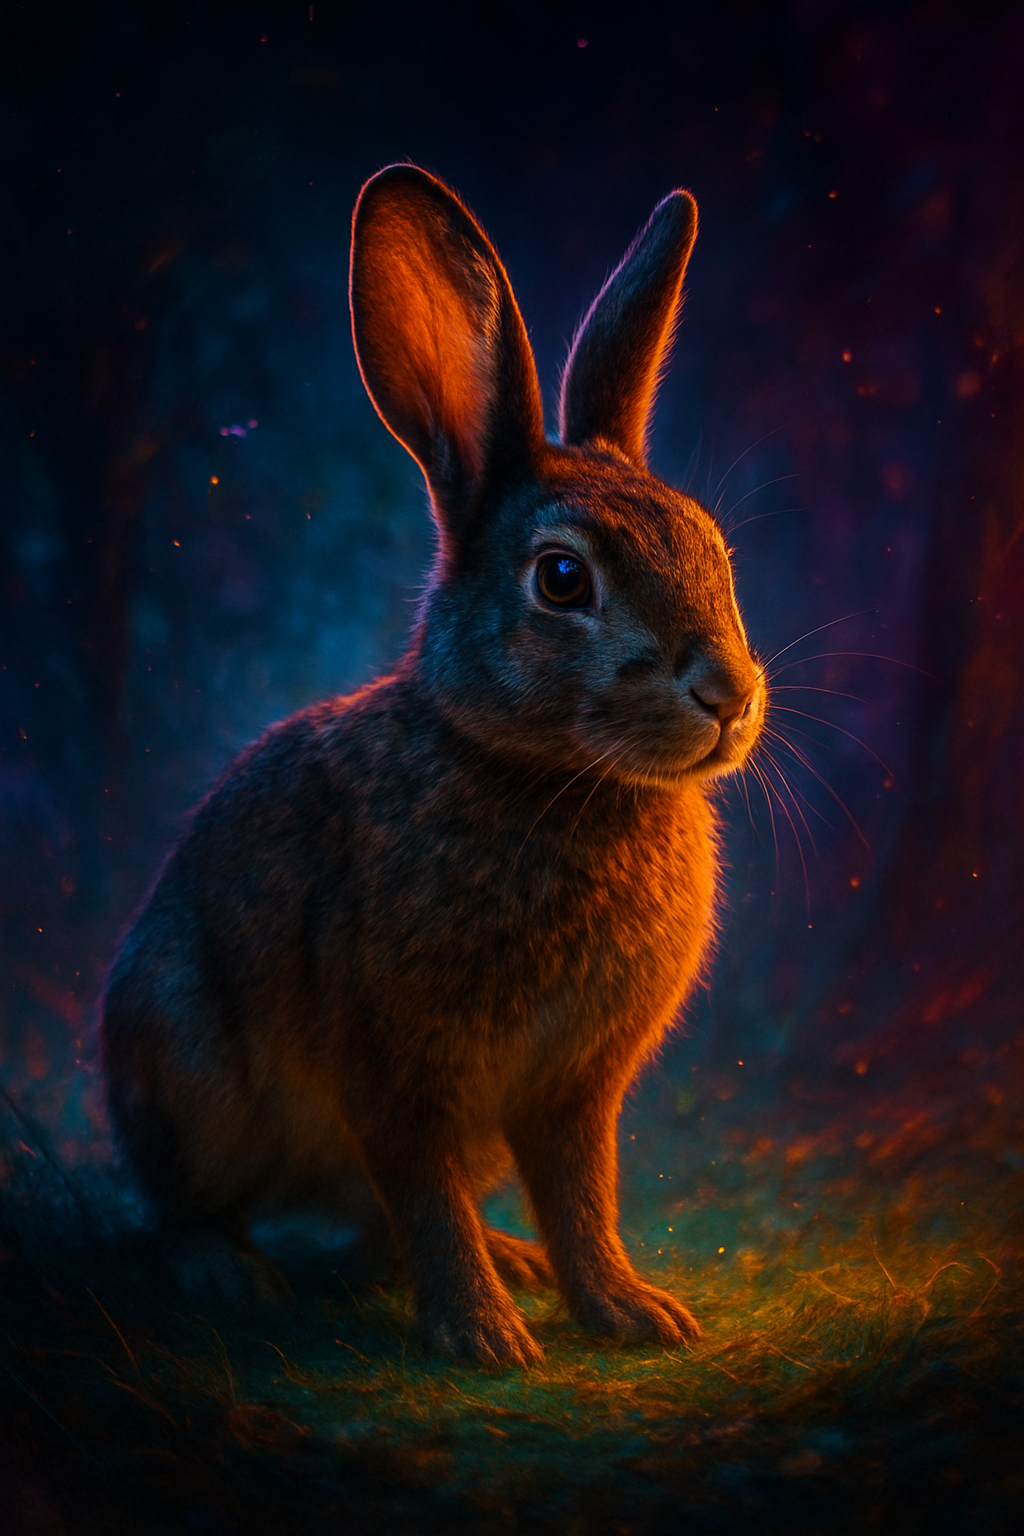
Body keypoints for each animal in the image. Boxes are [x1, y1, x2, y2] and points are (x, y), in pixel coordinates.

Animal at [101, 164, 766, 1367]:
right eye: (561, 579)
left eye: (714, 550)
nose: (728, 696)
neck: (541, 774)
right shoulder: (399, 1066)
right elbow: (426, 1189)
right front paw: (484, 1337)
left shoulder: (572, 1091)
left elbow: (581, 1196)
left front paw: (629, 1311)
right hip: (194, 1078)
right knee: (195, 1206)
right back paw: (231, 1274)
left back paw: (515, 1262)